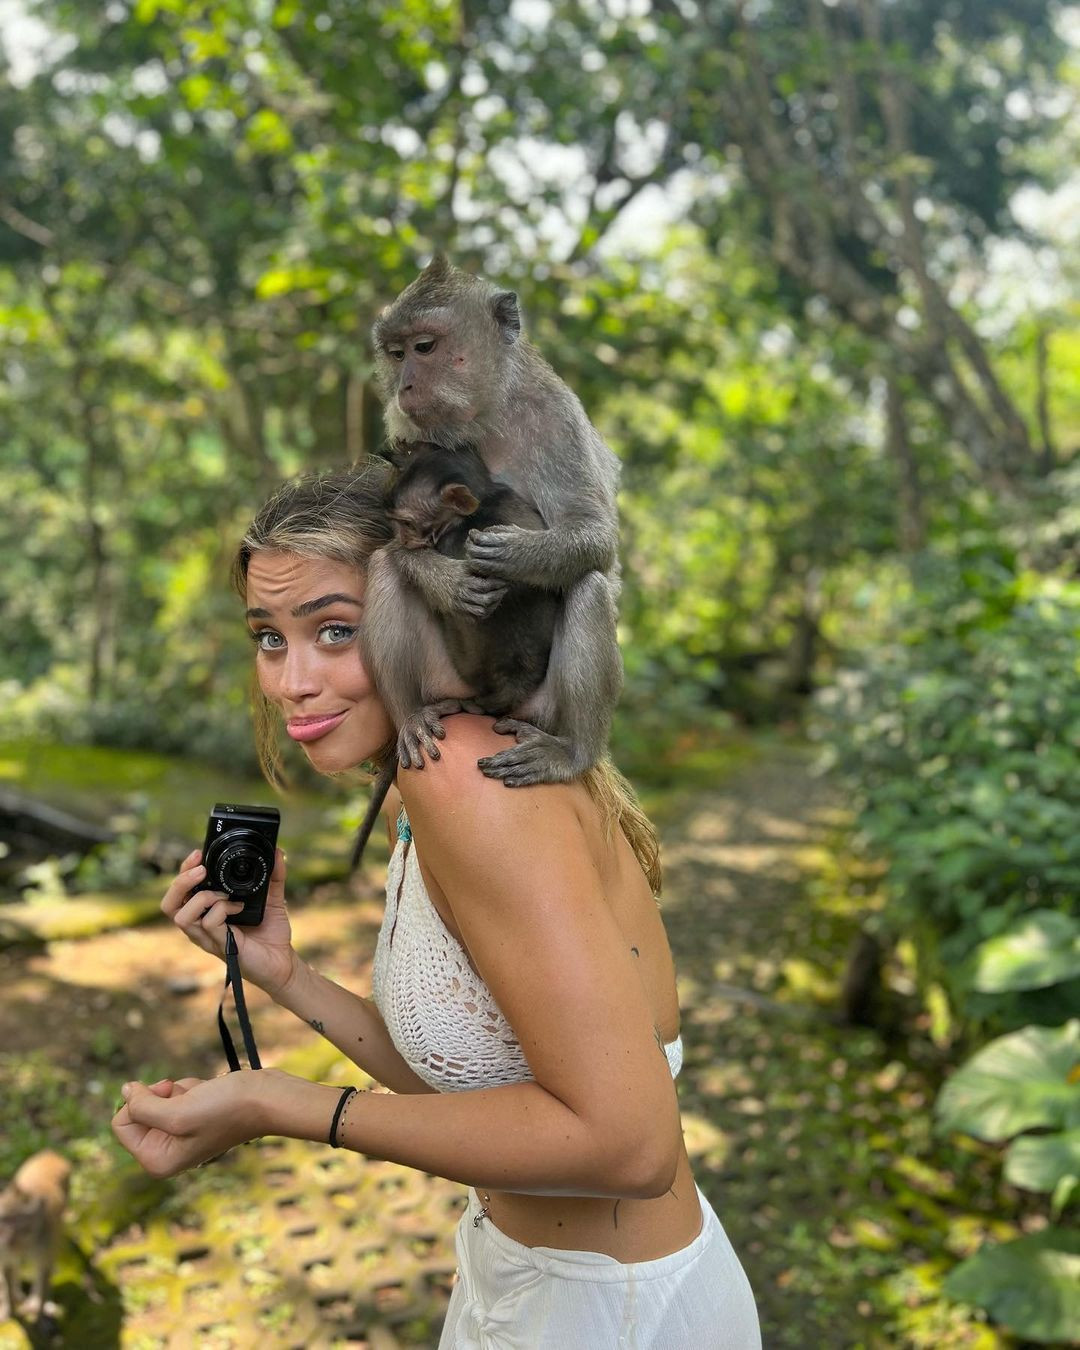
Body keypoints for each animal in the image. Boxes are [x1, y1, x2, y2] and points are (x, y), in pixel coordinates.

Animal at [0, 1150, 70, 1328]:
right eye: (4, 1220)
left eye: (19, 1223)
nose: (8, 1241)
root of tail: (50, 1153)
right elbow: (6, 1269)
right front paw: (9, 1309)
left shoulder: (44, 1239)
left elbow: (44, 1270)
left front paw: (41, 1316)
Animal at [364, 252, 623, 788]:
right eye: (396, 354)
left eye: (425, 347)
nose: (405, 385)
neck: (484, 415)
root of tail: (492, 701)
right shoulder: (403, 429)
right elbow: (386, 543)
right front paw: (446, 579)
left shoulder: (555, 417)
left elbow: (594, 536)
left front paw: (518, 553)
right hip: (447, 682)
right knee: (383, 567)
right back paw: (411, 716)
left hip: (542, 711)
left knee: (587, 585)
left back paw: (574, 753)